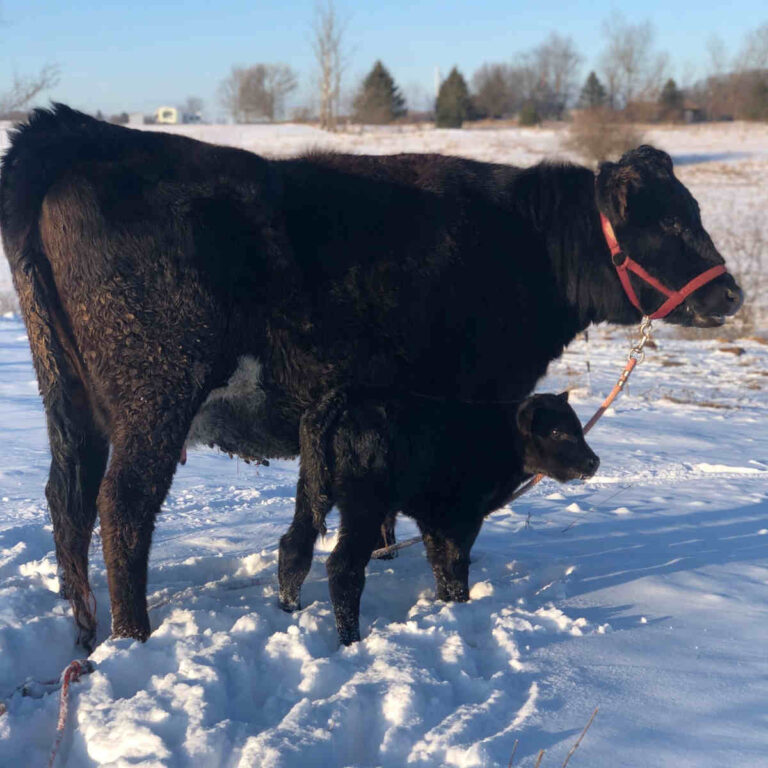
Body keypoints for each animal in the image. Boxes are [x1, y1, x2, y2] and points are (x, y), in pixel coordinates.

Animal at [0, 104, 742, 648]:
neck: (525, 245)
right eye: (669, 221)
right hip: (155, 393)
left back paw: (83, 630)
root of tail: (83, 134)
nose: (731, 294)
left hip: (68, 400)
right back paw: (133, 636)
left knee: (67, 499)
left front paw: (387, 555)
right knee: (122, 508)